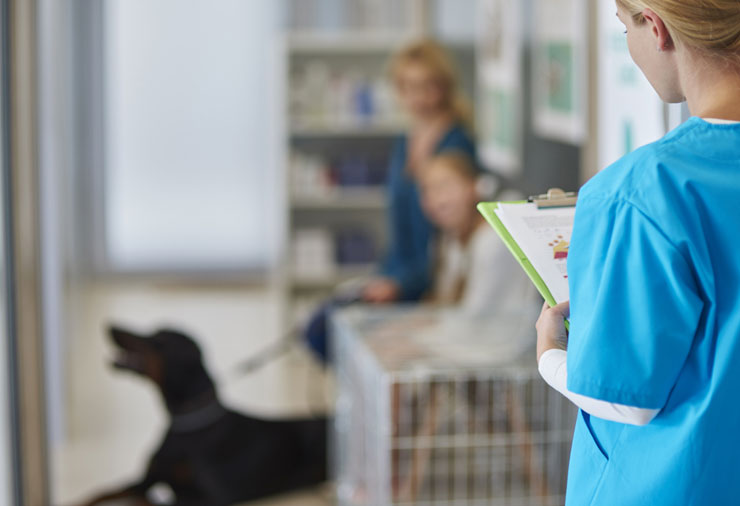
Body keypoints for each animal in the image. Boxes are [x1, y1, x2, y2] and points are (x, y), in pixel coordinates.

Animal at [79, 326, 328, 506]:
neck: (184, 427)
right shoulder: (147, 479)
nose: (111, 327)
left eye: (159, 339)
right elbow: (104, 490)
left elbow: (153, 501)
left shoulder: (213, 495)